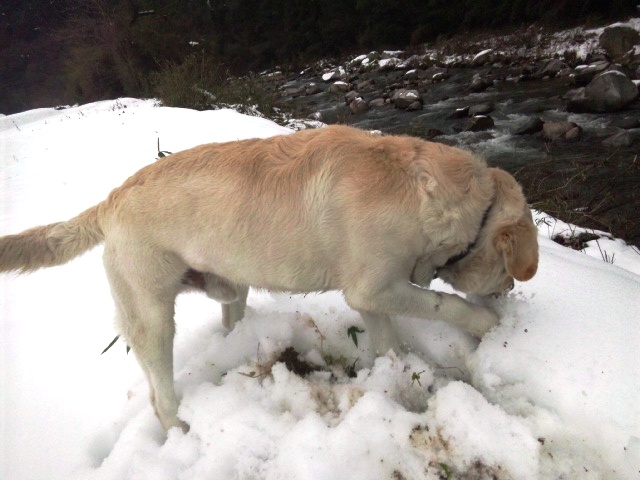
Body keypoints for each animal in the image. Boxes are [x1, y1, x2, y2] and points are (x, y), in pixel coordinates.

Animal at [0, 125, 536, 434]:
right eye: (510, 270)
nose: (511, 292)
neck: (427, 191)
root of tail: (109, 200)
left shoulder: (374, 294)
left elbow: (388, 341)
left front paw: (399, 380)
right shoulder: (374, 286)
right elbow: (447, 304)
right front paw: (488, 325)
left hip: (228, 284)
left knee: (228, 320)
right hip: (151, 317)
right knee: (160, 394)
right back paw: (180, 430)